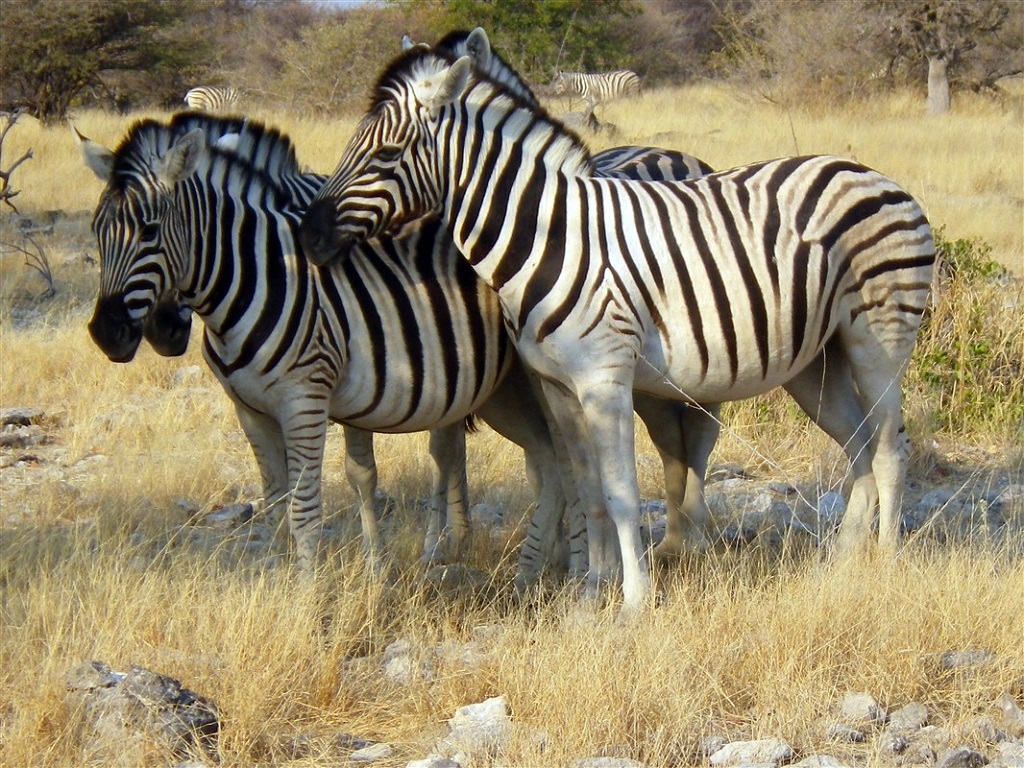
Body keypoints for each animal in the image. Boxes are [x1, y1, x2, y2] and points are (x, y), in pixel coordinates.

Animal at [75, 109, 577, 577]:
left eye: (149, 230)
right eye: (97, 230)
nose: (107, 333)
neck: (256, 277)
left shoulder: (305, 402)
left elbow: (304, 509)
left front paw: (310, 594)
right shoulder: (251, 411)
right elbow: (278, 507)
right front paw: (281, 583)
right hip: (497, 389)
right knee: (539, 461)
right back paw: (535, 563)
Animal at [299, 51, 937, 618]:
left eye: (385, 153)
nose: (309, 236)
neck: (547, 239)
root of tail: (874, 174)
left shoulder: (606, 378)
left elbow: (622, 493)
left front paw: (634, 601)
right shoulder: (559, 386)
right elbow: (587, 489)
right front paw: (589, 595)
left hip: (879, 337)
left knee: (889, 447)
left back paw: (885, 563)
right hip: (814, 361)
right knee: (858, 443)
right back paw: (843, 564)